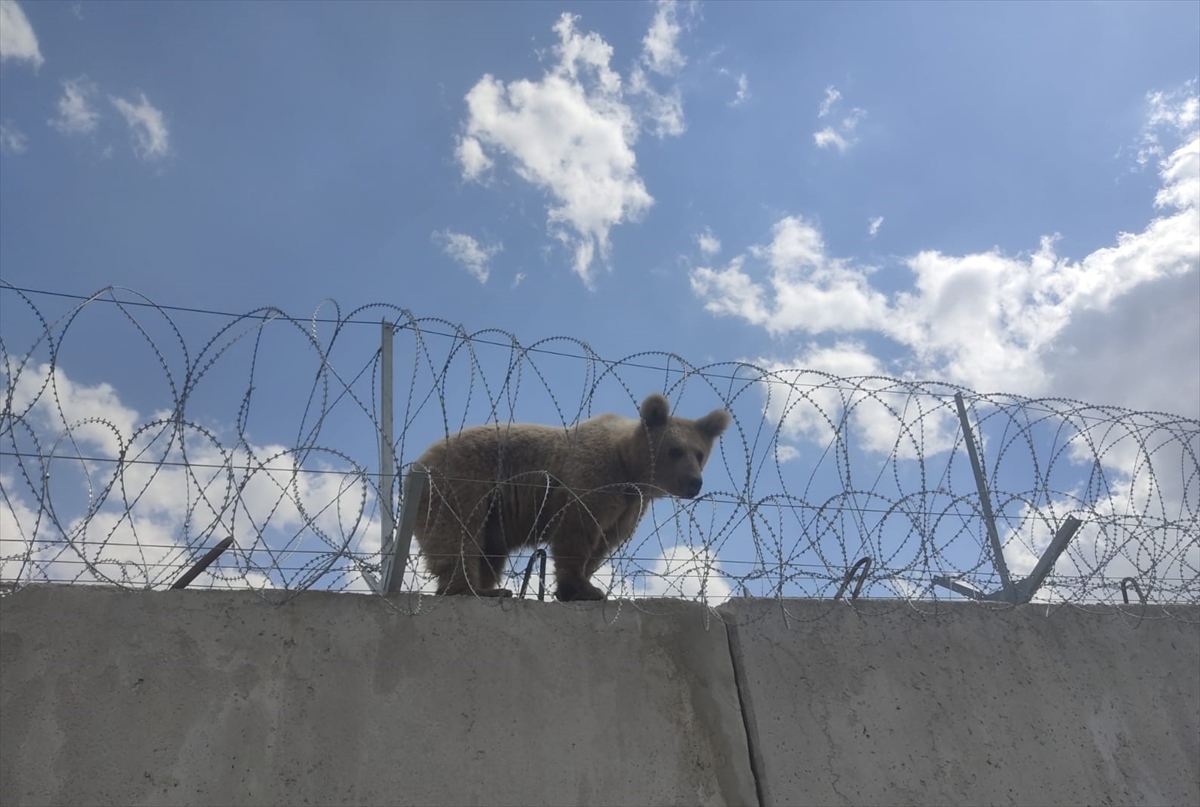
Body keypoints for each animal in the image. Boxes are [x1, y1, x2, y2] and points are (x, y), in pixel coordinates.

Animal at [412, 393, 729, 602]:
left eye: (699, 454)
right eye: (675, 451)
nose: (694, 483)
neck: (628, 469)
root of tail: (420, 460)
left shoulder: (628, 507)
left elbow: (604, 543)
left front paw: (586, 584)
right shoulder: (591, 479)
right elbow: (577, 530)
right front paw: (582, 589)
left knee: (490, 550)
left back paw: (489, 585)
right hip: (464, 483)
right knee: (458, 533)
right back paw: (470, 589)